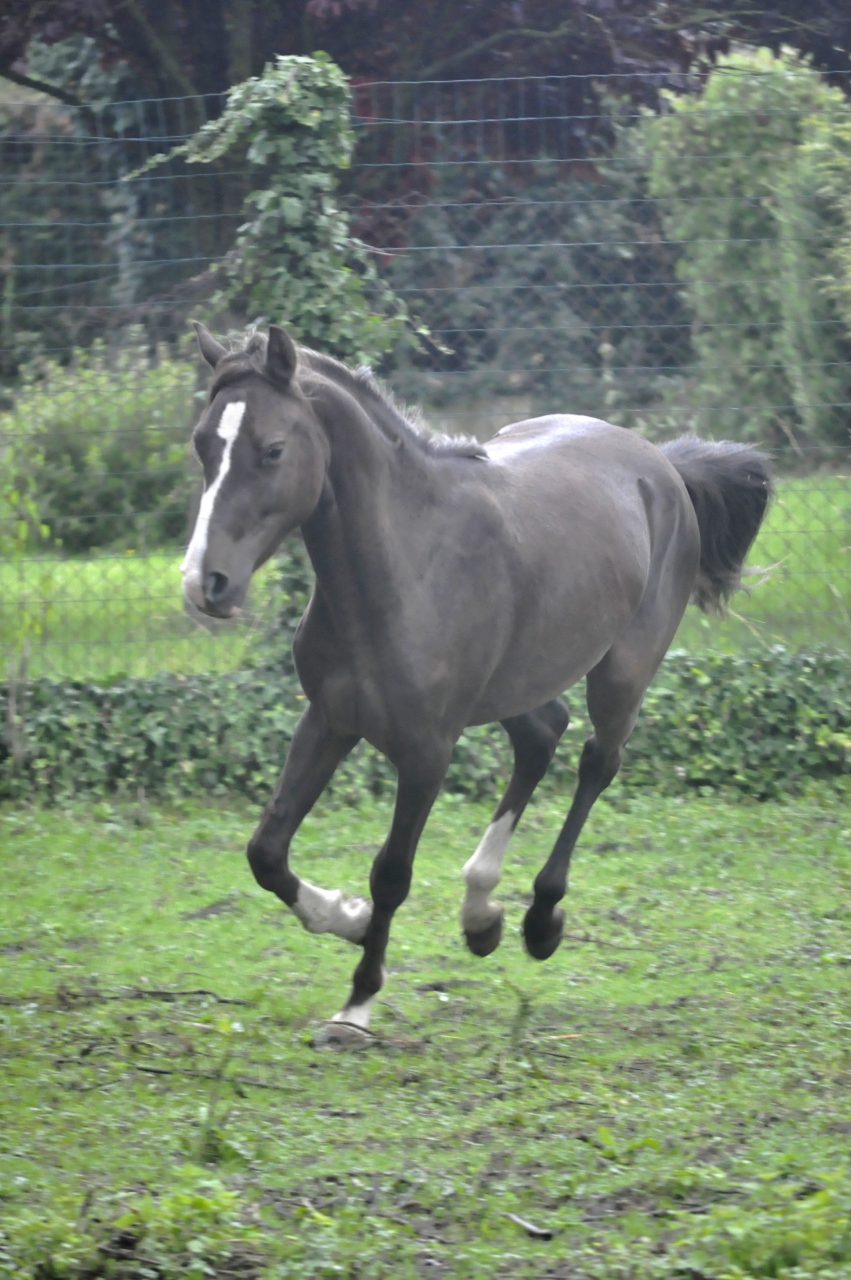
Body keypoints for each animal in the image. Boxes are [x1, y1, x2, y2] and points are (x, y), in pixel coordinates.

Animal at [183, 321, 772, 1038]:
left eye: (271, 449)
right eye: (203, 443)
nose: (205, 584)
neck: (405, 566)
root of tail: (659, 465)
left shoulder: (427, 750)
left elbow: (391, 873)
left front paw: (357, 1004)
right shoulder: (328, 719)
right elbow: (266, 850)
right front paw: (346, 919)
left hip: (621, 672)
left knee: (596, 762)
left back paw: (539, 920)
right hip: (517, 681)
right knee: (542, 736)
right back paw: (481, 913)